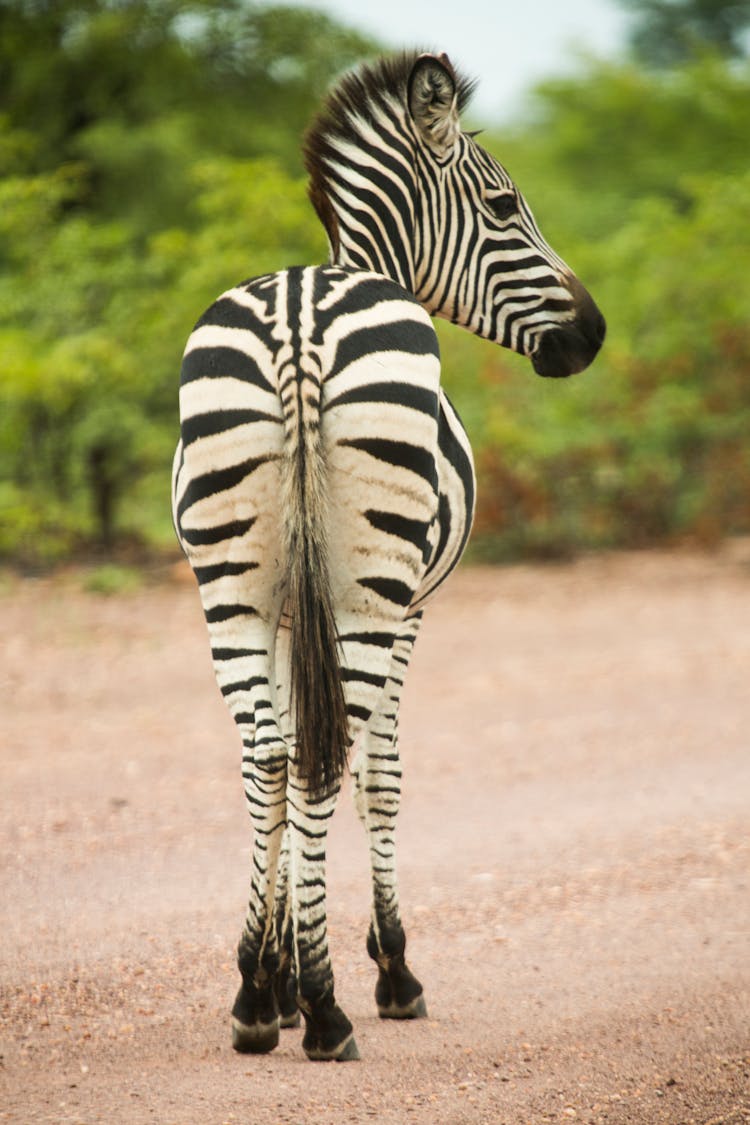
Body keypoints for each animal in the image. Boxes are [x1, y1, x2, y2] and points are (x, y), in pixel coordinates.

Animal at [169, 48, 602, 1057]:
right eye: (504, 205)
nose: (593, 334)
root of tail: (297, 314)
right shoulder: (411, 608)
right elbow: (382, 775)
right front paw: (384, 966)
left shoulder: (294, 607)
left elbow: (291, 751)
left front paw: (276, 973)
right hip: (371, 591)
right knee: (325, 761)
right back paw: (331, 1010)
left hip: (231, 587)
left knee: (268, 755)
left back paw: (255, 1001)